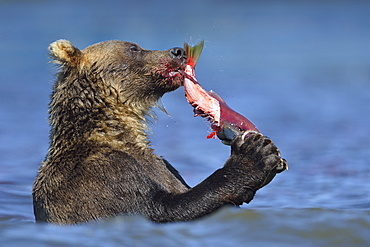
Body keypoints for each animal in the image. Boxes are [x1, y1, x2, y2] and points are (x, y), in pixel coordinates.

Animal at [32, 38, 286, 224]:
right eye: (133, 48)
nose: (178, 51)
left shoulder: (164, 167)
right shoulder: (103, 176)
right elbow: (162, 209)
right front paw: (255, 154)